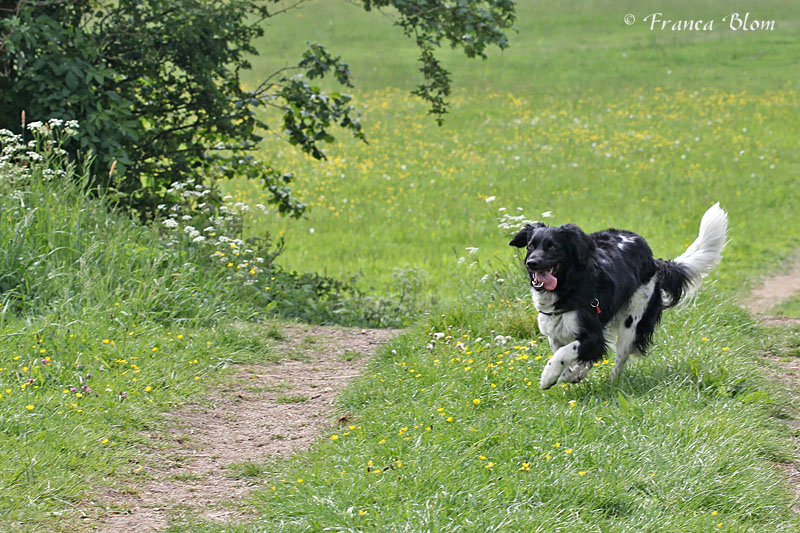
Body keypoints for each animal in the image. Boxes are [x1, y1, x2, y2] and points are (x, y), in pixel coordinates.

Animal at [510, 202, 728, 388]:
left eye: (553, 246)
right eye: (531, 245)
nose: (532, 263)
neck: (568, 286)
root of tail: (655, 260)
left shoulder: (593, 334)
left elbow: (565, 352)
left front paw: (548, 377)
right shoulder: (556, 331)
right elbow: (564, 354)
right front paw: (569, 374)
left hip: (631, 321)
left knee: (621, 357)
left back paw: (612, 384)